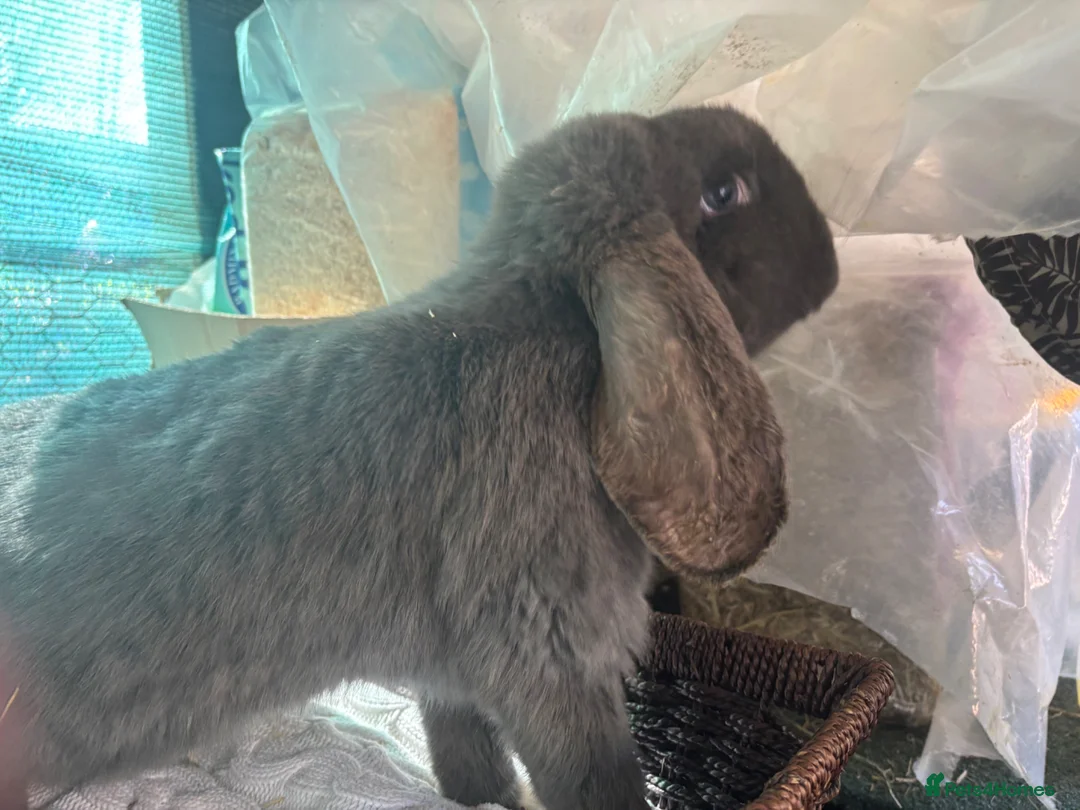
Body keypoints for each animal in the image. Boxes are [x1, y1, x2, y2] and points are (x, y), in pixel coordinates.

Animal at [0, 104, 838, 810]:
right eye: (724, 192)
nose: (831, 260)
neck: (550, 324)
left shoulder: (455, 680)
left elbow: (468, 755)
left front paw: (491, 799)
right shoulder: (553, 658)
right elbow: (594, 778)